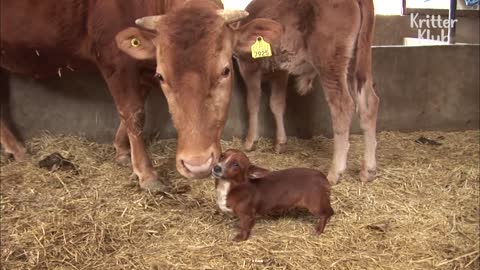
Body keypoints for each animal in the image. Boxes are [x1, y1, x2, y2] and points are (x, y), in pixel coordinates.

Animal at [0, 0, 282, 191]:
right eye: (162, 77)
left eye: (225, 70)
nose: (197, 165)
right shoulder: (115, 61)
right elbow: (132, 112)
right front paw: (147, 174)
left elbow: (134, 111)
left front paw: (122, 150)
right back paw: (17, 149)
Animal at [235, 0, 378, 185]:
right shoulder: (281, 70)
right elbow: (277, 104)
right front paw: (280, 143)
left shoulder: (249, 66)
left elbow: (253, 103)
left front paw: (250, 141)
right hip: (358, 62)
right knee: (370, 103)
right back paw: (368, 170)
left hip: (329, 62)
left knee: (343, 106)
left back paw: (335, 172)